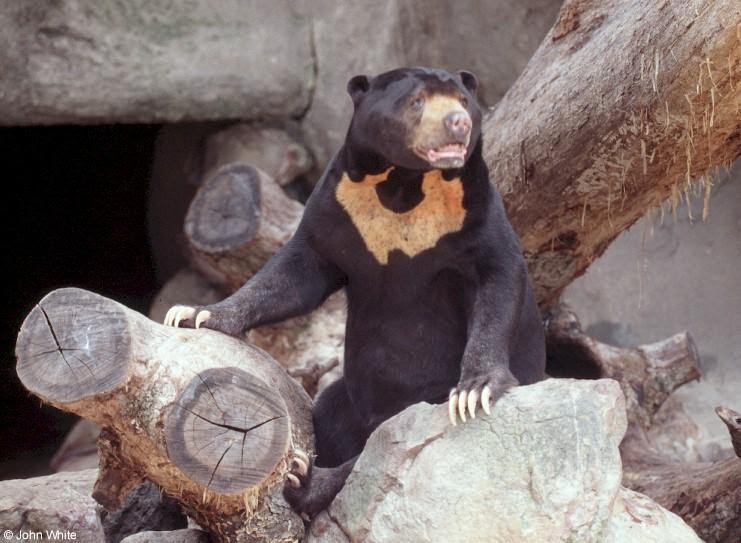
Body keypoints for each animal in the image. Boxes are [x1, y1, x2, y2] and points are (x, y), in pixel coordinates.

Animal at [164, 67, 546, 516]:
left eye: (464, 101)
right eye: (416, 101)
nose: (458, 123)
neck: (406, 185)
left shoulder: (475, 210)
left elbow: (498, 278)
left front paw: (474, 391)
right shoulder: (338, 206)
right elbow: (294, 274)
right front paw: (194, 314)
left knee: (374, 453)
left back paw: (303, 480)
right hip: (346, 397)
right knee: (330, 419)